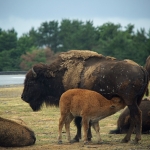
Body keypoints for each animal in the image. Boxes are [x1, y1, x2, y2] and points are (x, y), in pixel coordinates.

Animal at [21, 49, 149, 143]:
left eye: (31, 82)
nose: (23, 97)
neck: (61, 75)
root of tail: (141, 69)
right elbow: (85, 122)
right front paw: (88, 137)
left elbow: (78, 121)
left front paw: (77, 138)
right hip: (136, 100)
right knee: (133, 116)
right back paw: (126, 139)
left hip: (130, 100)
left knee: (137, 114)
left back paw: (135, 139)